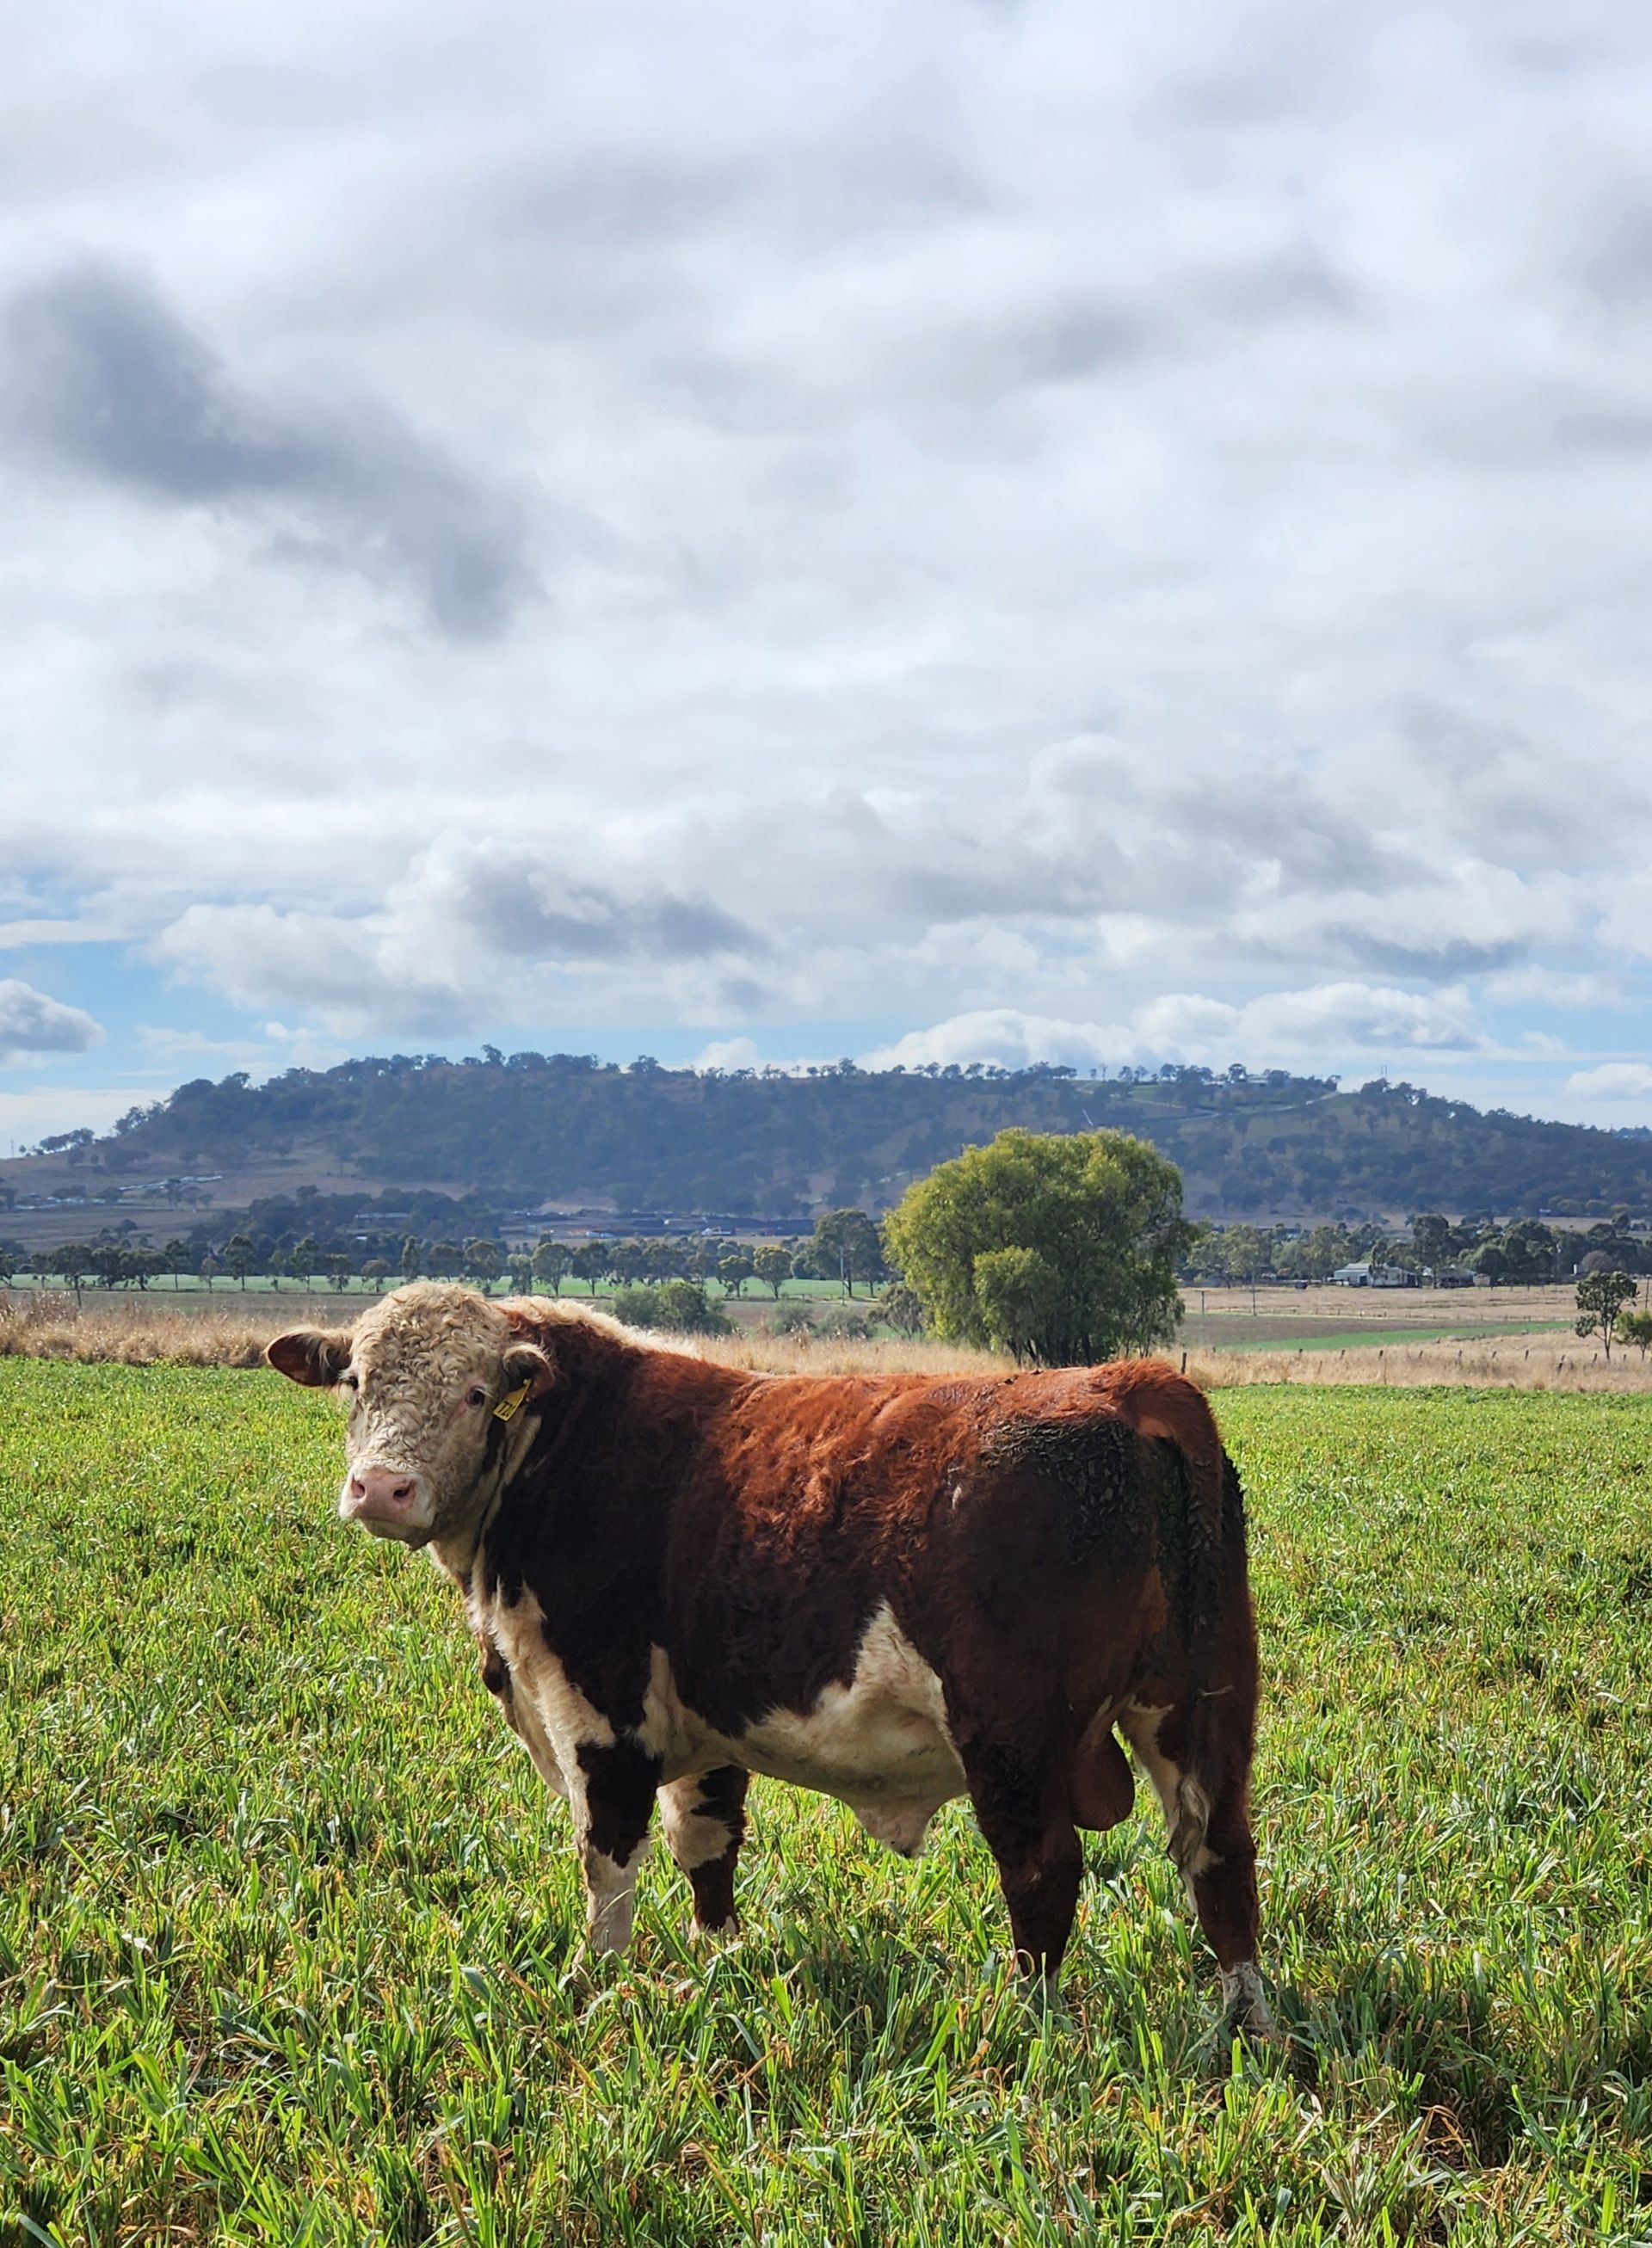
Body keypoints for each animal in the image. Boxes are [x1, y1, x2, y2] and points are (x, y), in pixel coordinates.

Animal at [266, 1281, 1266, 2027]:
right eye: (355, 1383)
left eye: (475, 1393)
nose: (381, 1488)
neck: (566, 1444)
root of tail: (1123, 1384)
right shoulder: (703, 1719)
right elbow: (707, 1840)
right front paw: (722, 1961)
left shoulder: (600, 1708)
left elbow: (609, 1855)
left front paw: (594, 1988)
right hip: (1203, 1705)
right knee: (1221, 1855)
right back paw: (1245, 2021)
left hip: (1012, 1734)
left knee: (1043, 1868)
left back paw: (1026, 2019)